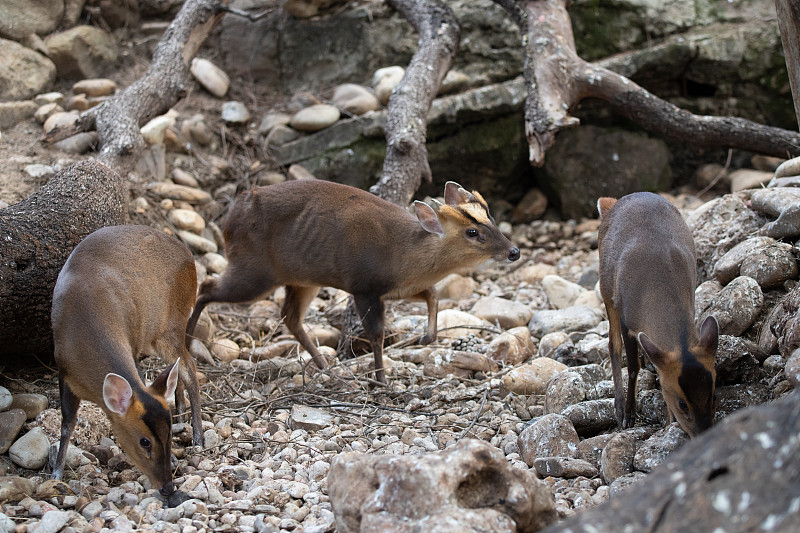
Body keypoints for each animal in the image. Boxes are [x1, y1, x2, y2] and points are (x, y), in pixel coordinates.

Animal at [185, 179, 520, 382]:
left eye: (491, 217)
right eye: (472, 232)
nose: (513, 251)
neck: (405, 254)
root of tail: (229, 220)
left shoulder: (397, 288)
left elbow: (433, 294)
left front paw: (428, 337)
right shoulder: (364, 287)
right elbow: (376, 334)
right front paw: (381, 379)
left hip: (302, 279)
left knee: (290, 317)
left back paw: (326, 368)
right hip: (254, 271)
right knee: (207, 287)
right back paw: (187, 344)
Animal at [592, 191, 720, 436]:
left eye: (713, 395)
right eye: (682, 403)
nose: (704, 433)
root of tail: (612, 204)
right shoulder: (627, 317)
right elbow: (632, 366)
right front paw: (628, 415)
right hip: (606, 289)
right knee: (613, 345)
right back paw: (619, 409)